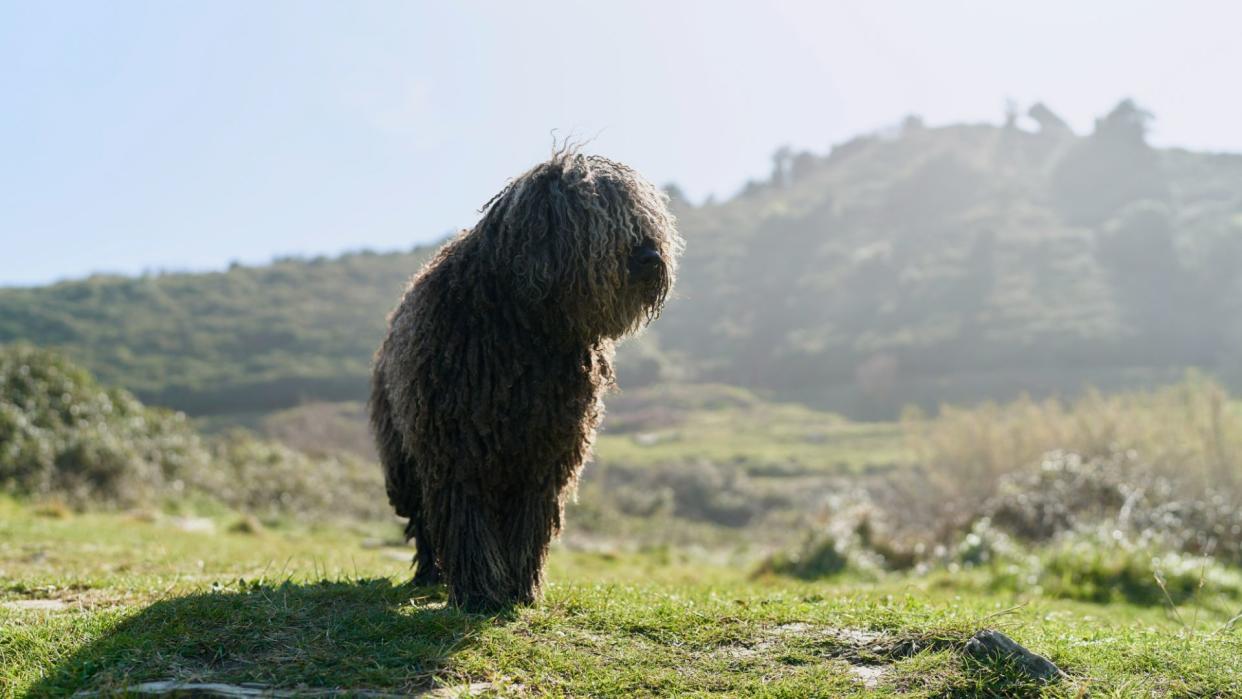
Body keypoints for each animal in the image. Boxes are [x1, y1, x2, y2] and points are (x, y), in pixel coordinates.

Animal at [367, 153, 685, 613]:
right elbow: (467, 520)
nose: (650, 255)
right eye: (596, 214)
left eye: (644, 214)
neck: (526, 328)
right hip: (404, 458)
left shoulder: (543, 454)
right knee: (424, 520)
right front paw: (480, 591)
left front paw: (519, 588)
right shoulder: (457, 448)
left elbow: (527, 525)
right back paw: (430, 573)